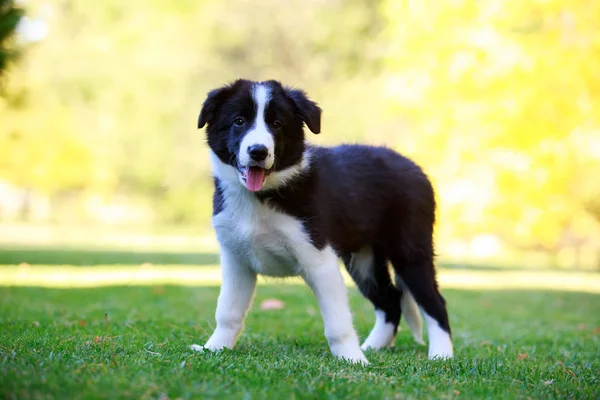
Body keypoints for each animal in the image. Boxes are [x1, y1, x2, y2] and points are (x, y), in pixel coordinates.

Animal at [193, 79, 454, 366]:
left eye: (277, 124)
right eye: (239, 121)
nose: (258, 152)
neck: (262, 197)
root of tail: (414, 167)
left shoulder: (319, 259)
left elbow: (338, 324)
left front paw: (353, 360)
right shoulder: (236, 259)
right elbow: (227, 312)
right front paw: (214, 348)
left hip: (410, 250)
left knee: (434, 302)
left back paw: (441, 355)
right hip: (365, 261)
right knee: (391, 301)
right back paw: (373, 346)